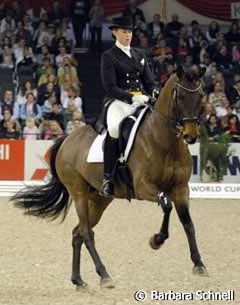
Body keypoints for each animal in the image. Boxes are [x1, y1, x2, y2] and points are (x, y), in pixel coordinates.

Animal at [10, 65, 208, 288]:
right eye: (180, 96)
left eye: (201, 95)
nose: (191, 136)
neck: (164, 141)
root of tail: (67, 140)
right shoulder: (143, 187)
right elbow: (166, 204)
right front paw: (156, 240)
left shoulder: (181, 189)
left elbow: (188, 223)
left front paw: (199, 264)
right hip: (79, 194)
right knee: (86, 232)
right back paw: (104, 275)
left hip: (99, 199)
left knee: (78, 233)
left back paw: (78, 280)